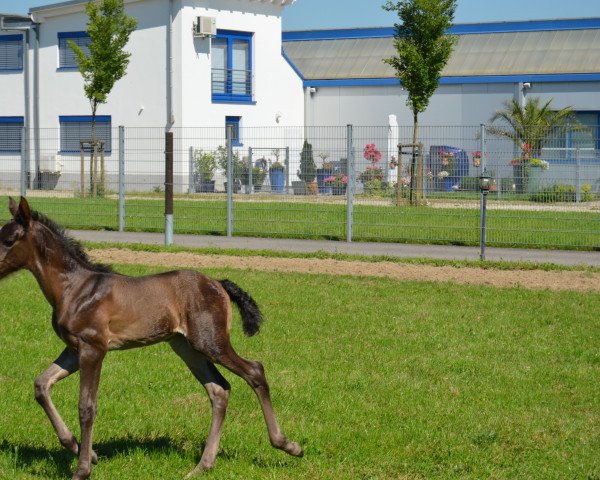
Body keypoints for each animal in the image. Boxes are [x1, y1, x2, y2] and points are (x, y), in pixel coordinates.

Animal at [0, 197, 300, 478]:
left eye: (9, 240)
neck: (74, 288)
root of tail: (218, 283)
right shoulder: (74, 349)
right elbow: (41, 385)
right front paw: (85, 451)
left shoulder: (93, 348)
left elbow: (87, 407)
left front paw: (82, 468)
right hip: (186, 347)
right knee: (218, 389)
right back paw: (202, 465)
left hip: (210, 342)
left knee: (254, 371)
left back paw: (288, 445)